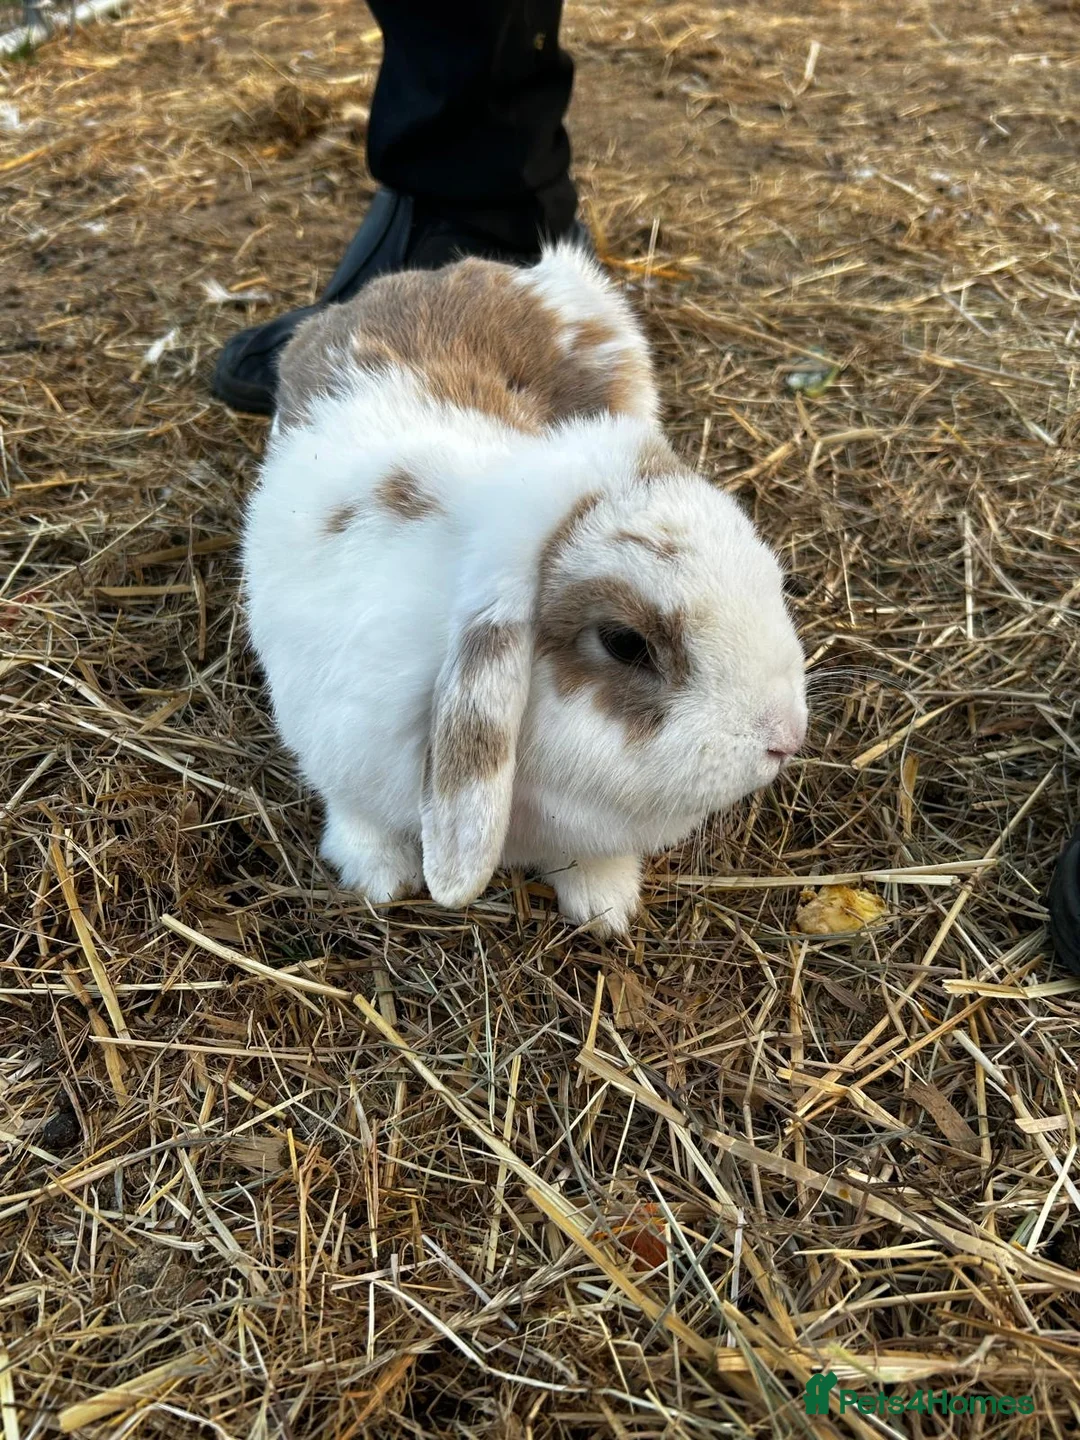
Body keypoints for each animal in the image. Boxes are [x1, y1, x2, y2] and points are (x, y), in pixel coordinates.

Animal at [242, 242, 808, 937]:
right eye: (624, 643)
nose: (785, 738)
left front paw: (605, 908)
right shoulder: (339, 749)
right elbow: (358, 817)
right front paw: (377, 879)